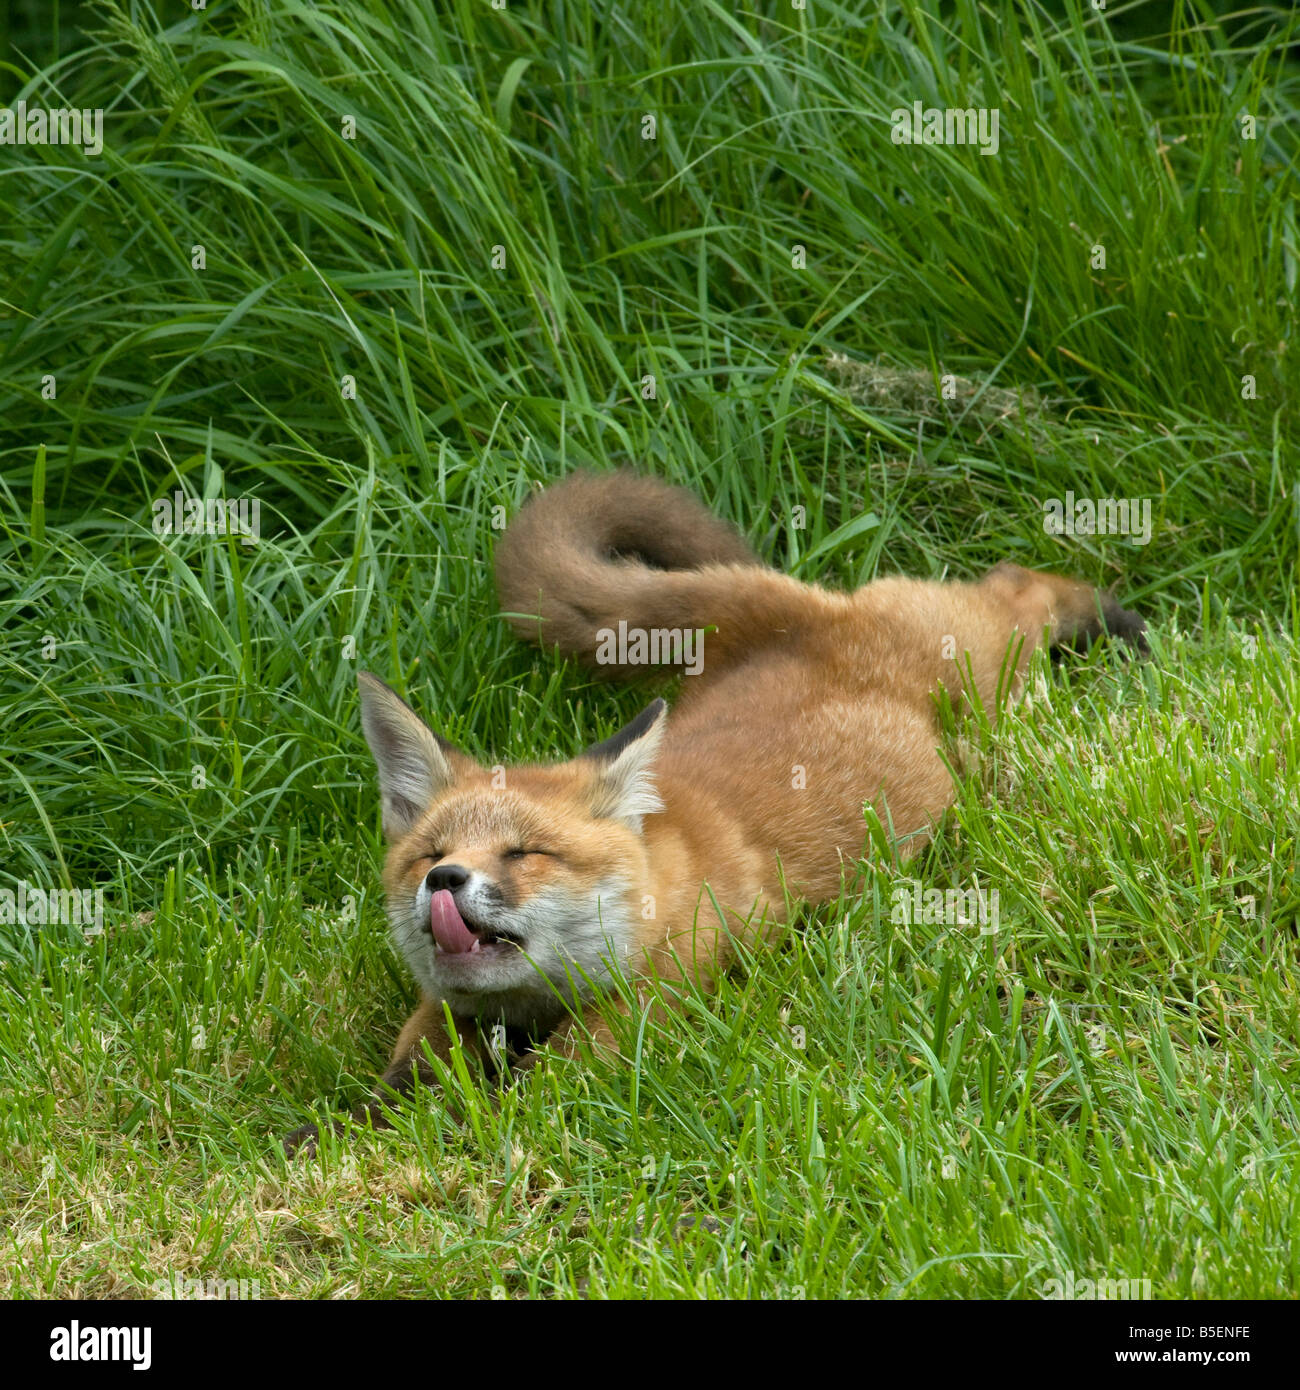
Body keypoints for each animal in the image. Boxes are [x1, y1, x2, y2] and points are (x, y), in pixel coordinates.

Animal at [283, 470, 1146, 1154]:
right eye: (429, 857)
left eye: (525, 853)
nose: (446, 884)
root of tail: (816, 619)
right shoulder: (447, 1014)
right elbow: (400, 1078)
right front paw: (330, 1133)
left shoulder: (644, 1009)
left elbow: (525, 1098)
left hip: (988, 668)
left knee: (1018, 584)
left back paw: (1110, 621)